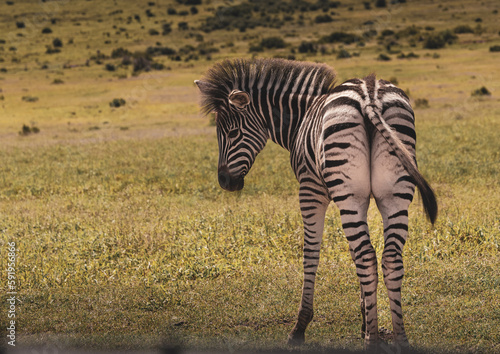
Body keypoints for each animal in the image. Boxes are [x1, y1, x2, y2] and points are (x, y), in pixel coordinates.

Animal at [195, 58, 438, 348]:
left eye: (232, 133)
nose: (224, 181)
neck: (300, 119)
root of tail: (369, 94)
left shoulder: (311, 189)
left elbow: (311, 252)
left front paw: (300, 327)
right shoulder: (363, 198)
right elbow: (353, 253)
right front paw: (365, 319)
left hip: (348, 190)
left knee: (368, 256)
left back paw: (372, 342)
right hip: (393, 191)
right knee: (389, 258)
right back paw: (399, 338)